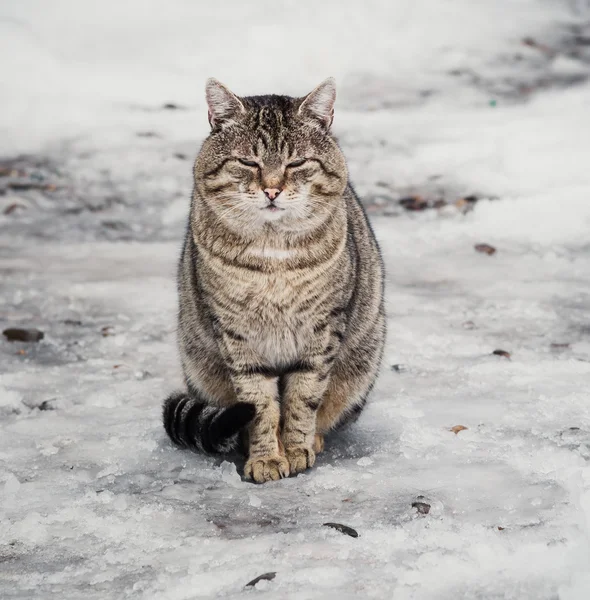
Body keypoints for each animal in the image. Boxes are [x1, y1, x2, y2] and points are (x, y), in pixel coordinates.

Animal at [162, 78, 386, 482]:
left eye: (295, 163)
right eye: (248, 162)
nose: (271, 189)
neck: (273, 255)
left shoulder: (323, 328)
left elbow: (302, 397)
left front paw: (296, 448)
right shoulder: (236, 333)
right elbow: (259, 403)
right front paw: (266, 457)